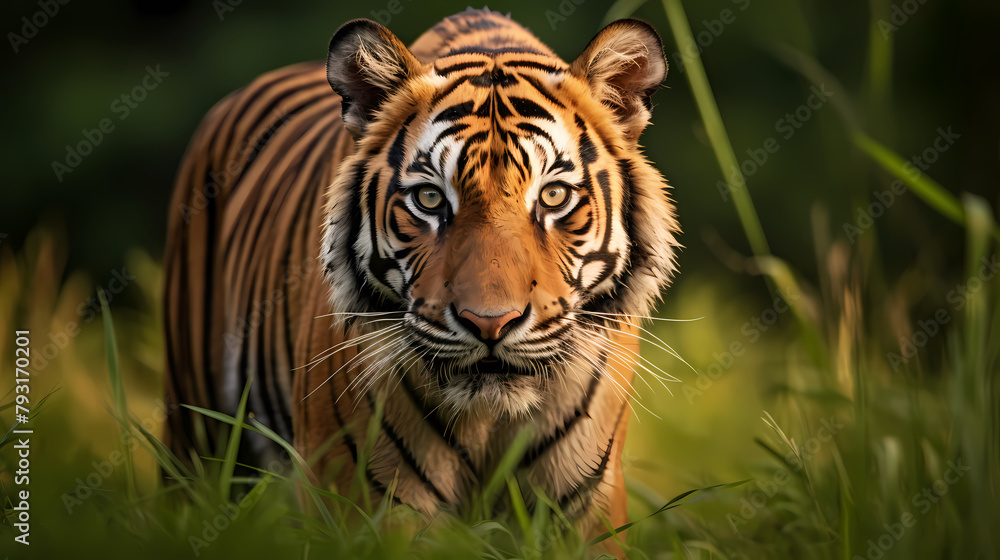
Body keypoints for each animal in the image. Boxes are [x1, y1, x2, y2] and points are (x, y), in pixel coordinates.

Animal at [163, 7, 680, 548]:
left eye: (554, 196)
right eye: (430, 199)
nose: (490, 324)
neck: (488, 419)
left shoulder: (582, 513)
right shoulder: (370, 505)